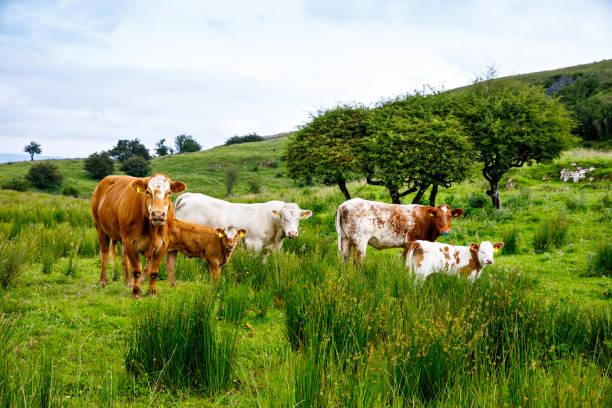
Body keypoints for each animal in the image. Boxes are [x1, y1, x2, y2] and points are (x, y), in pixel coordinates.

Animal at [176, 192, 310, 258]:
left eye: (298, 219)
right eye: (284, 218)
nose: (292, 233)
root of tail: (190, 196)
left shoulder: (269, 247)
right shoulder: (254, 243)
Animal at [334, 198, 464, 262]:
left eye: (450, 217)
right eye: (437, 217)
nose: (446, 232)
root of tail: (343, 205)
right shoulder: (410, 243)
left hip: (345, 239)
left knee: (344, 259)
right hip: (360, 241)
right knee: (357, 261)